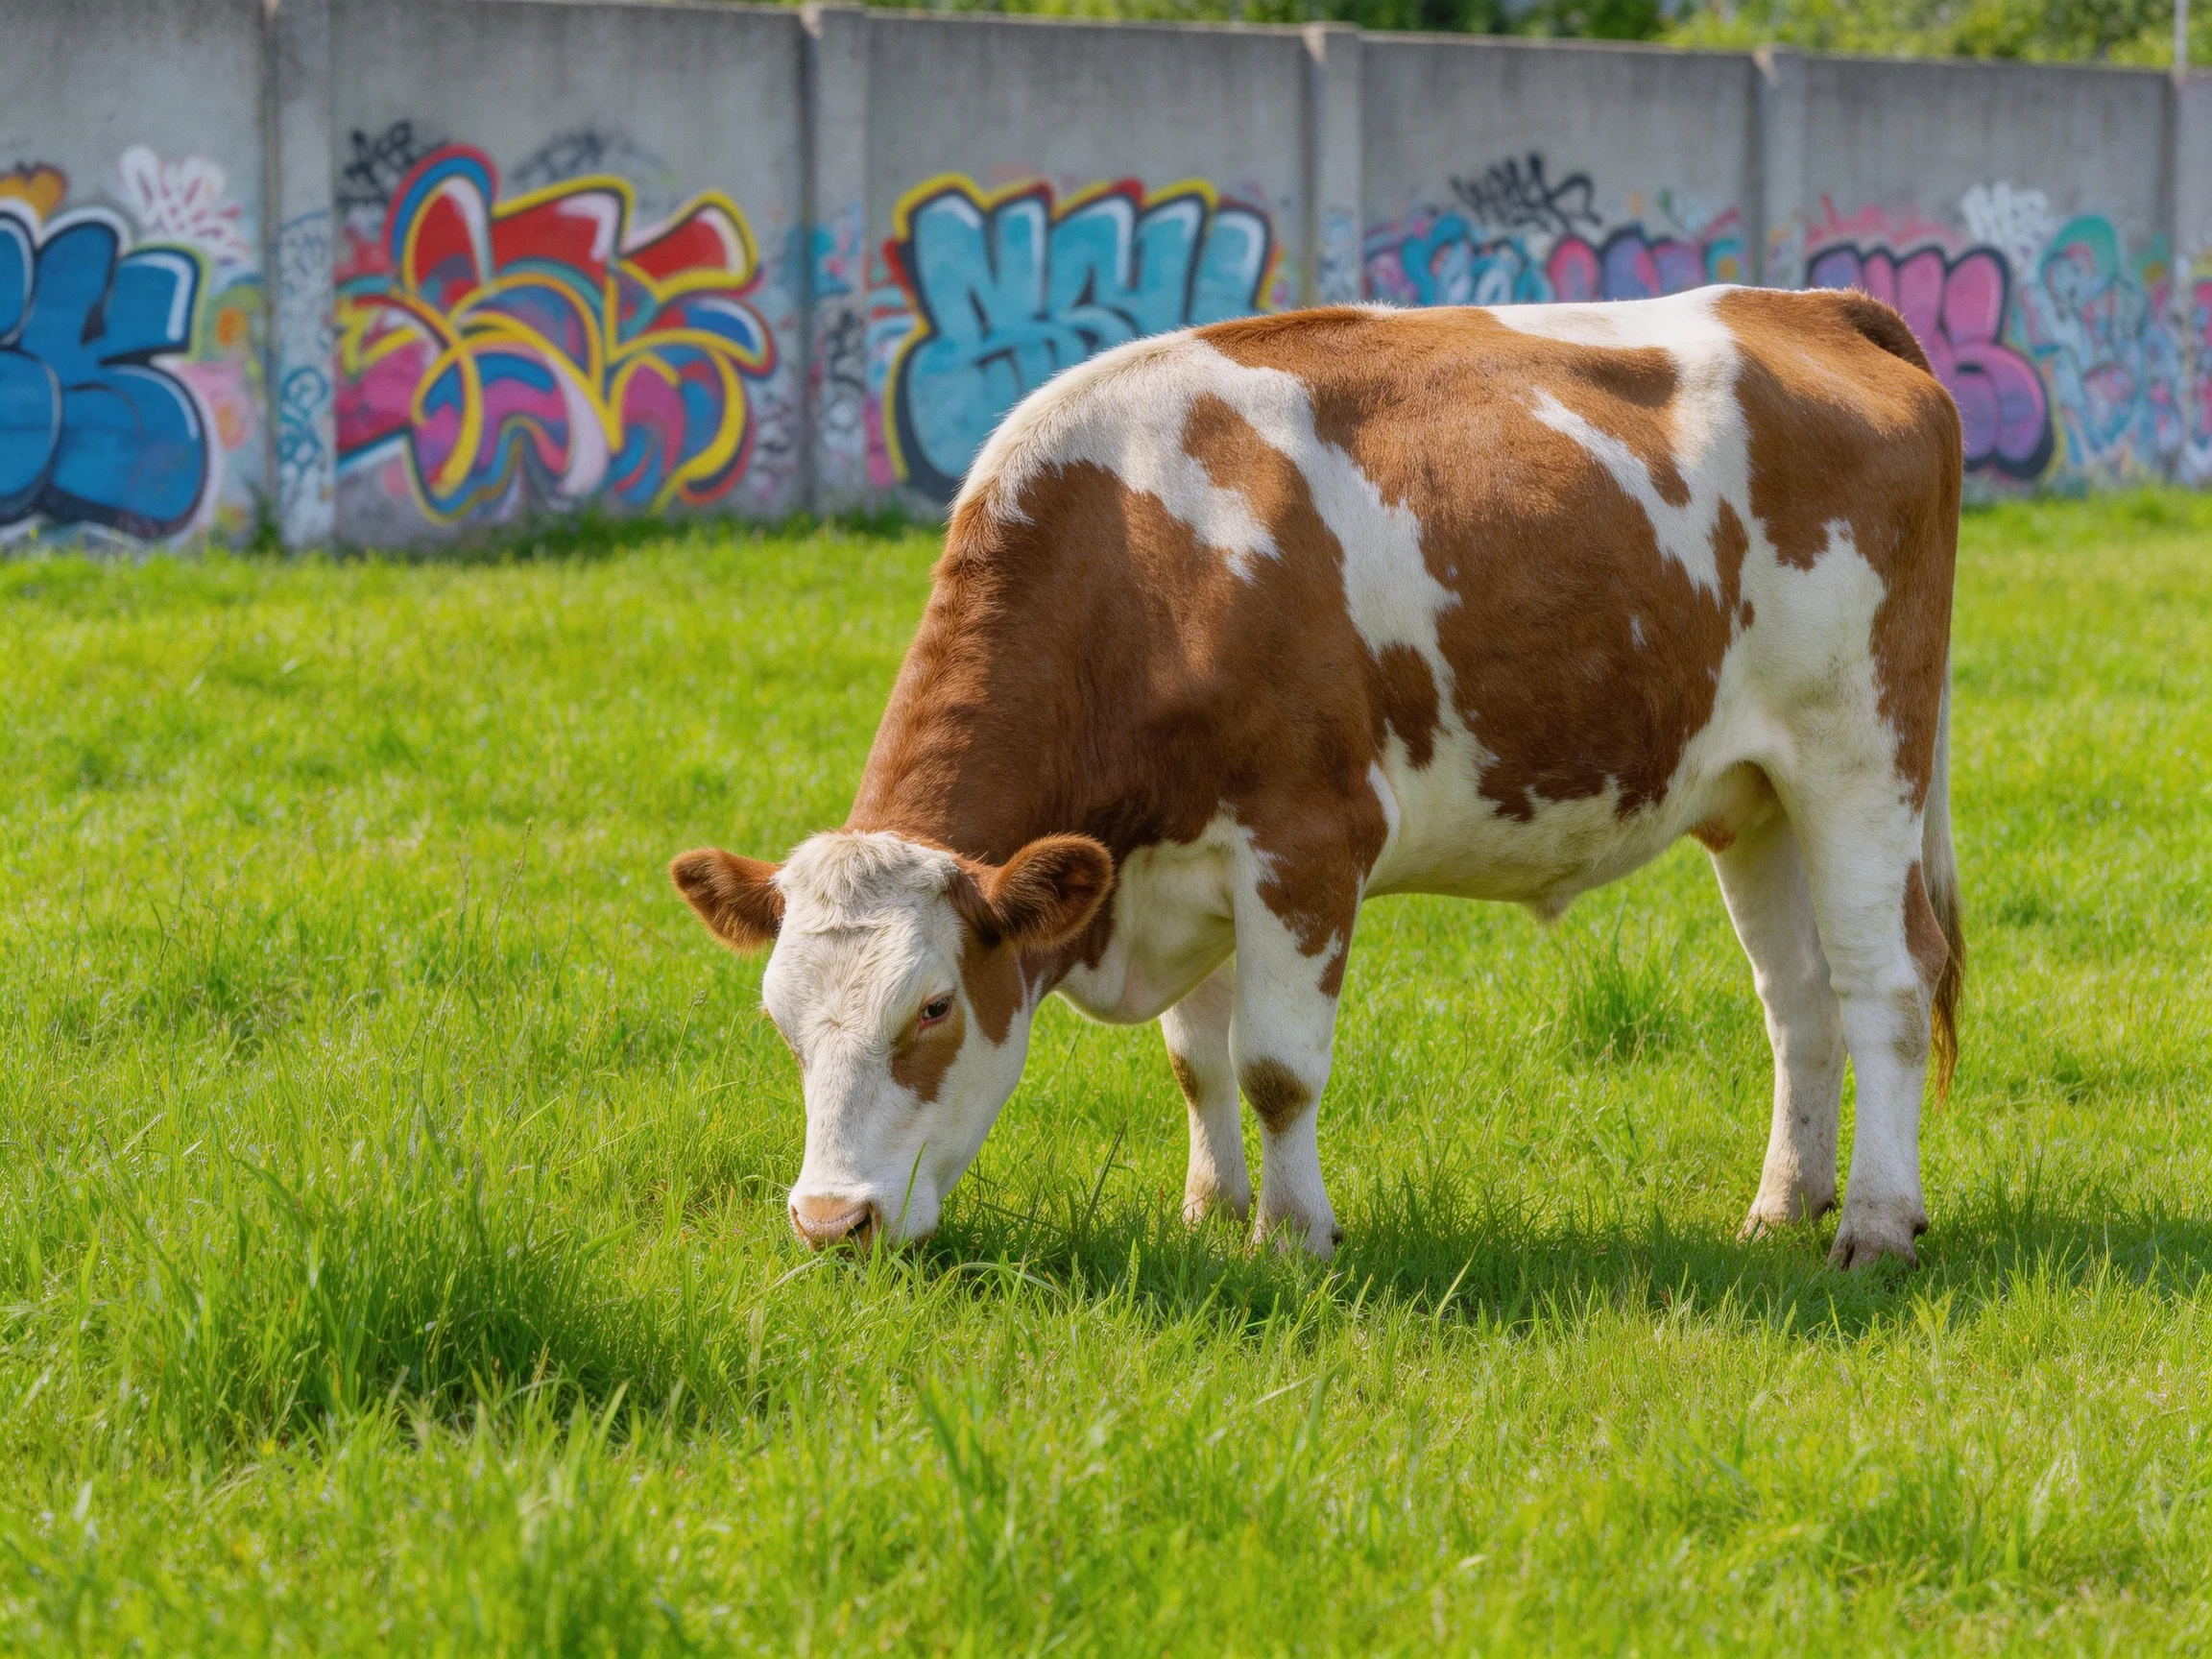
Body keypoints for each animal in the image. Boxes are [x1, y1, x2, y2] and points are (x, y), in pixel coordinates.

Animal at [671, 285, 1965, 1270]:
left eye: (933, 1006)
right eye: (779, 1020)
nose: (830, 1221)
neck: (1145, 566)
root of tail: (1807, 304)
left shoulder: (1303, 842)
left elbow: (1277, 1070)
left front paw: (1293, 1240)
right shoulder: (1172, 862)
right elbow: (1197, 1063)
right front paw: (1211, 1214)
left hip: (1861, 753)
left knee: (1889, 983)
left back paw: (1875, 1225)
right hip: (1755, 792)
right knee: (1799, 1001)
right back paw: (1782, 1206)